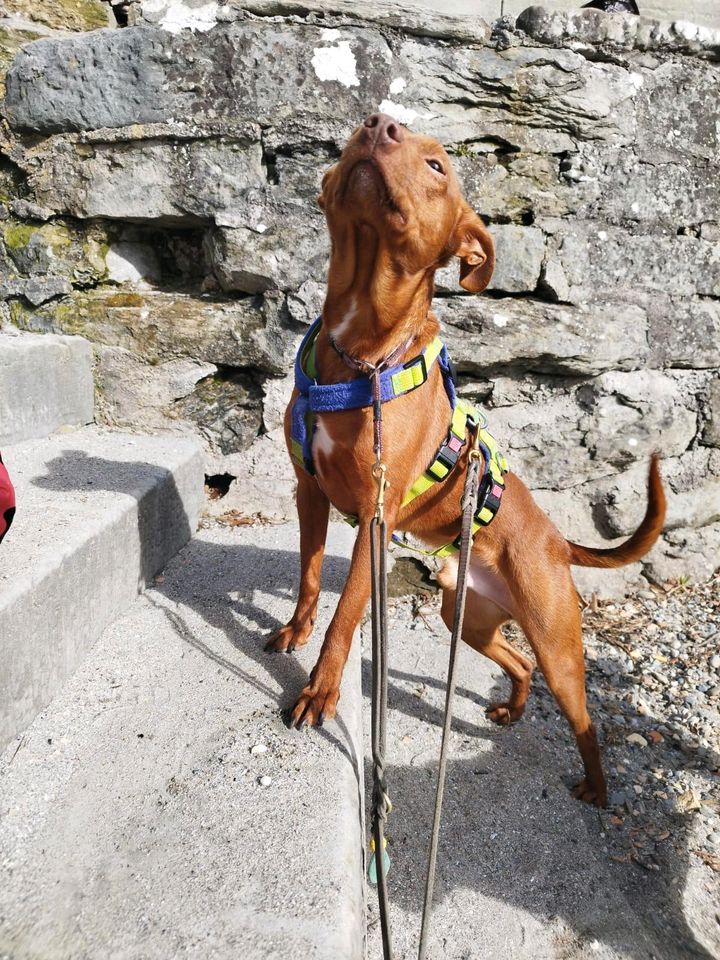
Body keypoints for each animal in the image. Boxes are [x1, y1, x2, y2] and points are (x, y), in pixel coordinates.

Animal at [268, 112, 668, 808]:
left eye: (437, 166)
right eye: (359, 131)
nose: (378, 122)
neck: (362, 352)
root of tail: (557, 541)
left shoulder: (374, 521)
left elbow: (346, 616)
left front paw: (320, 690)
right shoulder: (310, 490)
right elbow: (310, 574)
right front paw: (296, 628)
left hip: (559, 644)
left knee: (583, 718)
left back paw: (595, 789)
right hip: (471, 621)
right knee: (519, 661)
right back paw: (512, 708)